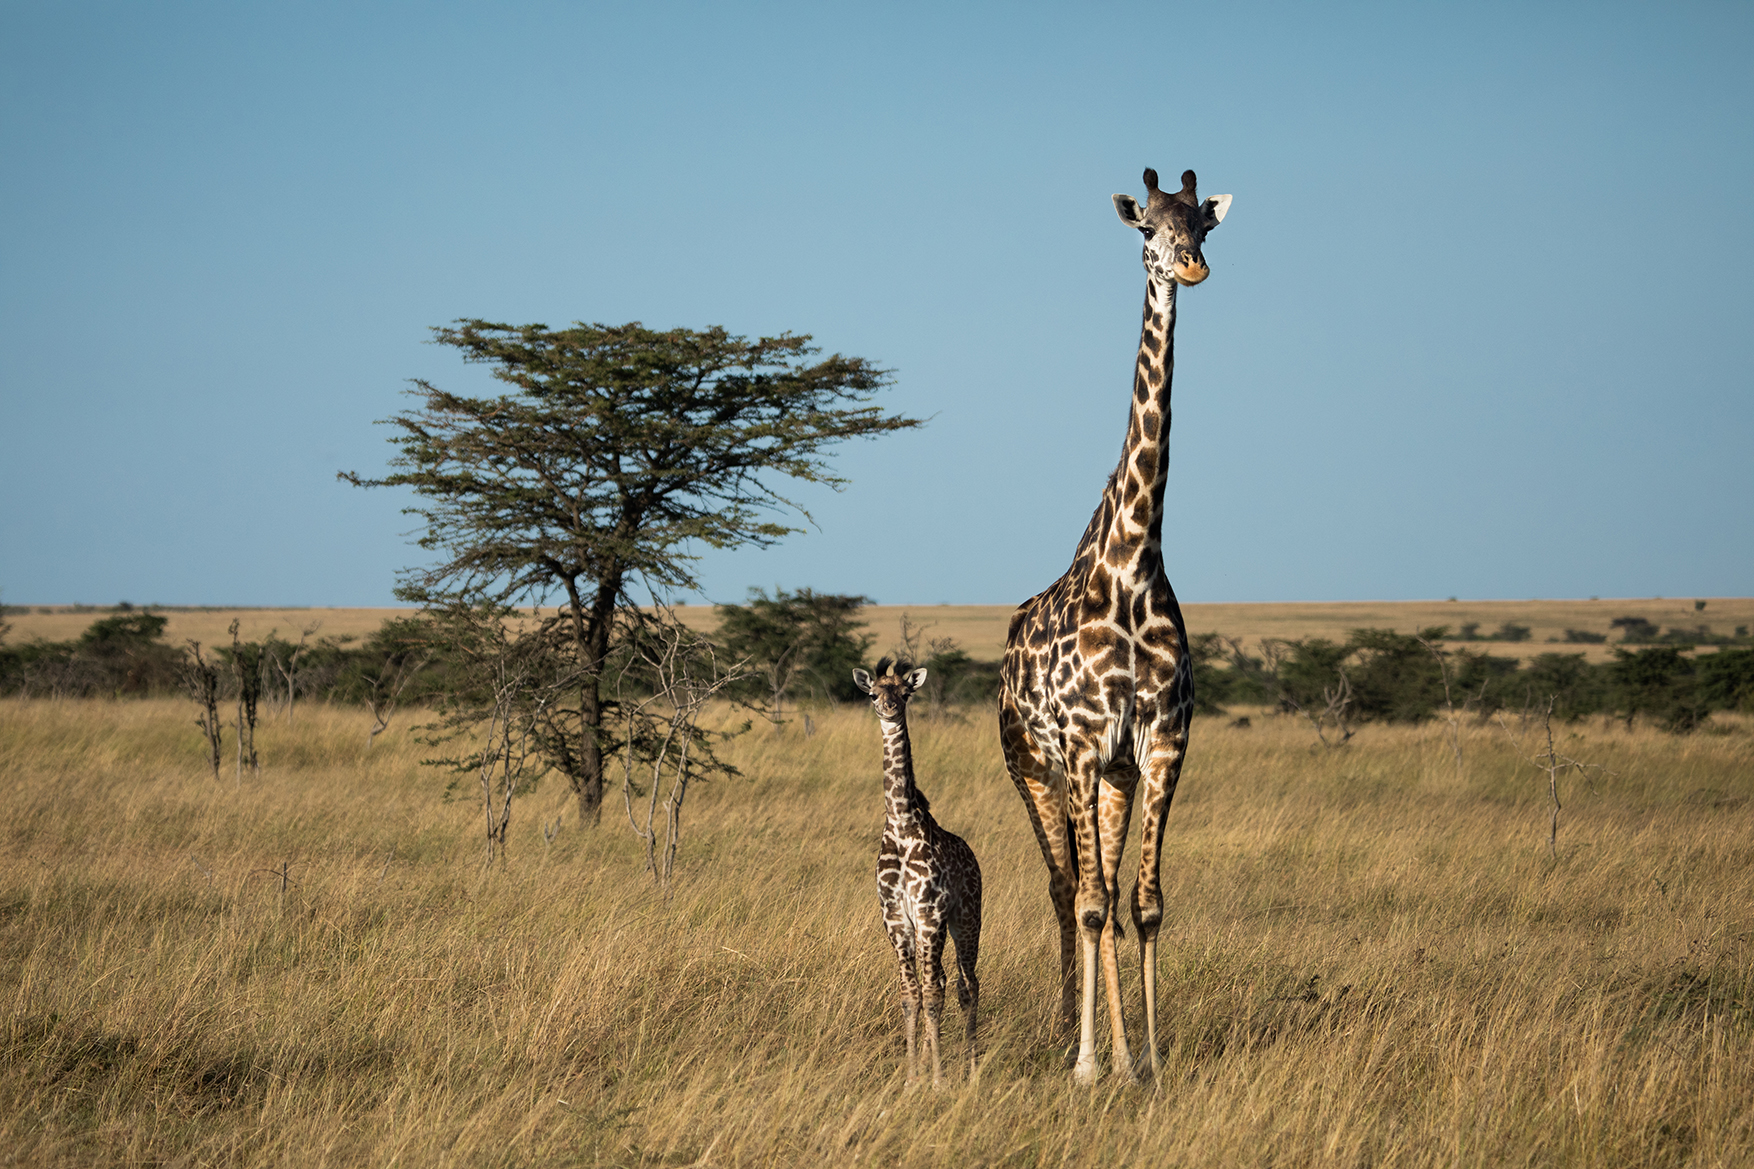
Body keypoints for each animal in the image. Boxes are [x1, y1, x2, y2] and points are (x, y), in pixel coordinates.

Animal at [854, 660, 983, 1088]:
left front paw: (939, 1080)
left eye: (905, 692)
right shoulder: (896, 918)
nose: (889, 709)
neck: (900, 824)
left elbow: (932, 995)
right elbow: (911, 994)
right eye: (873, 693)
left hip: (966, 919)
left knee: (965, 985)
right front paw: (912, 1077)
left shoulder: (929, 913)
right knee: (941, 981)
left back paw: (972, 1070)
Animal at [998, 167, 1231, 1084]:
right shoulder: (1083, 742)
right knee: (1067, 890)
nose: (1191, 267)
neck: (1134, 562)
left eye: (1202, 222)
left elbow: (1147, 902)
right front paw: (1091, 1065)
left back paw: (1120, 1047)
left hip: (1112, 778)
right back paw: (1071, 1033)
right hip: (1036, 765)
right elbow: (1096, 901)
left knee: (1098, 889)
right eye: (1148, 231)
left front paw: (1151, 1060)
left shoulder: (1160, 742)